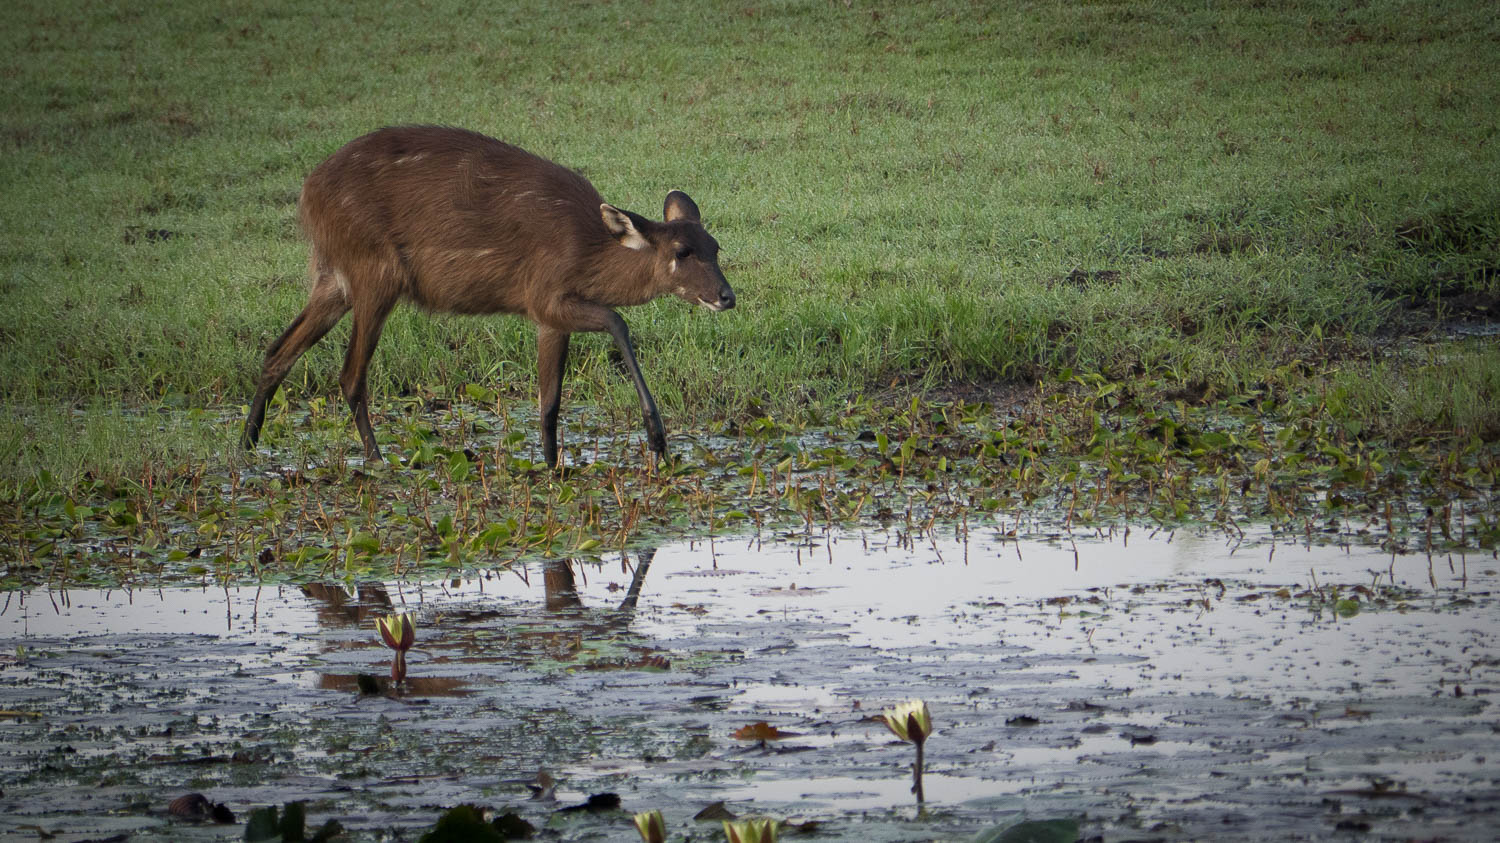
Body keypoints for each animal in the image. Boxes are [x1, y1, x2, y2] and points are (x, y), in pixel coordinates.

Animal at [243, 124, 735, 465]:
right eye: (682, 251)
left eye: (716, 247)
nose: (726, 297)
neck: (588, 247)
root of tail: (309, 194)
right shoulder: (544, 295)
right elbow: (618, 320)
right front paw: (658, 441)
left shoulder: (548, 318)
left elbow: (549, 404)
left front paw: (553, 466)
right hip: (375, 277)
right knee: (349, 374)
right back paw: (379, 460)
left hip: (335, 282)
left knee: (277, 351)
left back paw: (247, 449)